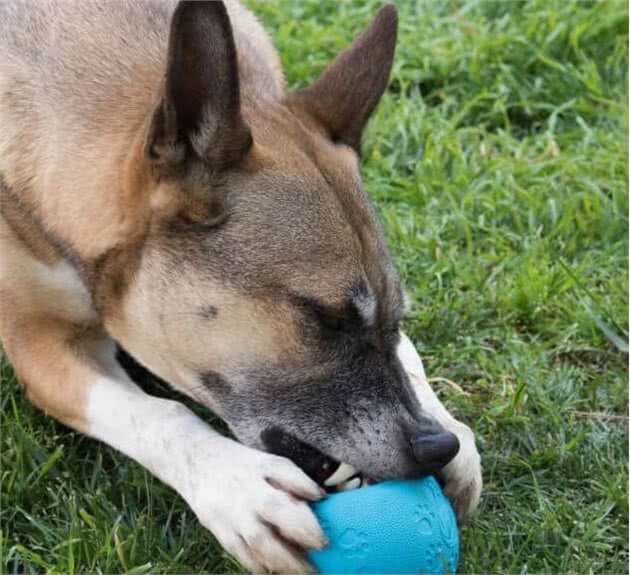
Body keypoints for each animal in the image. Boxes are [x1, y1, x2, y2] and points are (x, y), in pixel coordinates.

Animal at [1, 1, 484, 572]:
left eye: (397, 316)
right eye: (326, 320)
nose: (437, 447)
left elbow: (409, 355)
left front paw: (447, 422)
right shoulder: (41, 344)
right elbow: (158, 412)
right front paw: (239, 487)